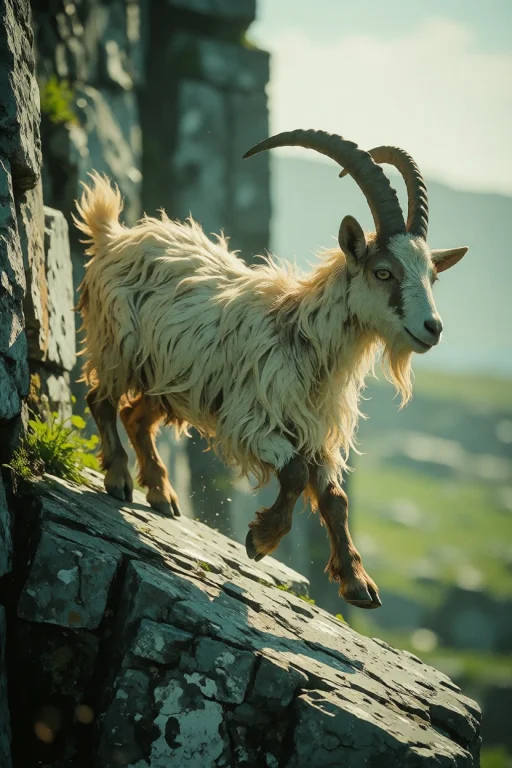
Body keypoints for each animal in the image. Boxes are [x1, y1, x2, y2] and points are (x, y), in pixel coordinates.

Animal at [74, 130, 467, 609]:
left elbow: (335, 498)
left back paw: (162, 494)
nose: (433, 328)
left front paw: (358, 583)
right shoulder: (251, 421)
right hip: (118, 347)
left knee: (135, 416)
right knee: (101, 399)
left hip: (171, 380)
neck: (301, 336)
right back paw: (117, 478)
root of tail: (113, 234)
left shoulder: (317, 433)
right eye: (383, 272)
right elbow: (294, 473)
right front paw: (261, 539)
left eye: (432, 275)